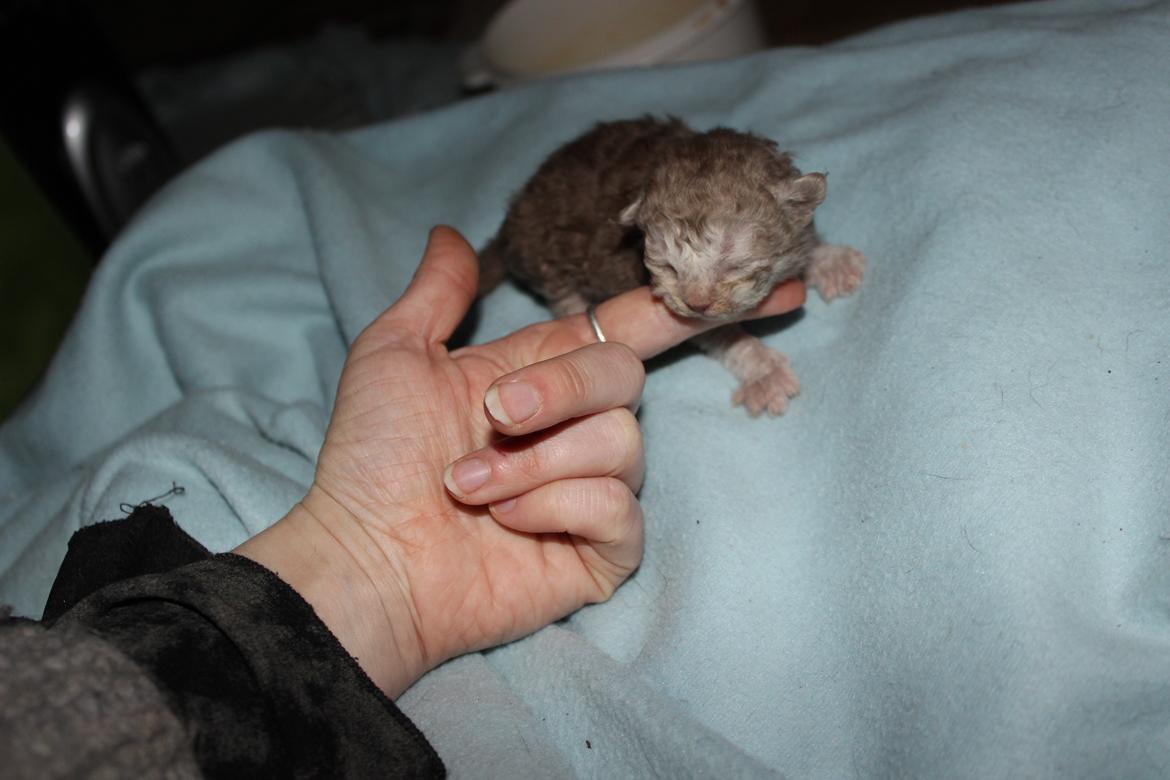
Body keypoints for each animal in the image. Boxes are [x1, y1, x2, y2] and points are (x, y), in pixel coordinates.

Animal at [477, 116, 870, 418]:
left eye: (733, 265)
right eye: (669, 267)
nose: (696, 304)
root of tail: (514, 215)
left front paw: (829, 261)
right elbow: (721, 334)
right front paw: (763, 371)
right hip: (544, 255)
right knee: (561, 291)